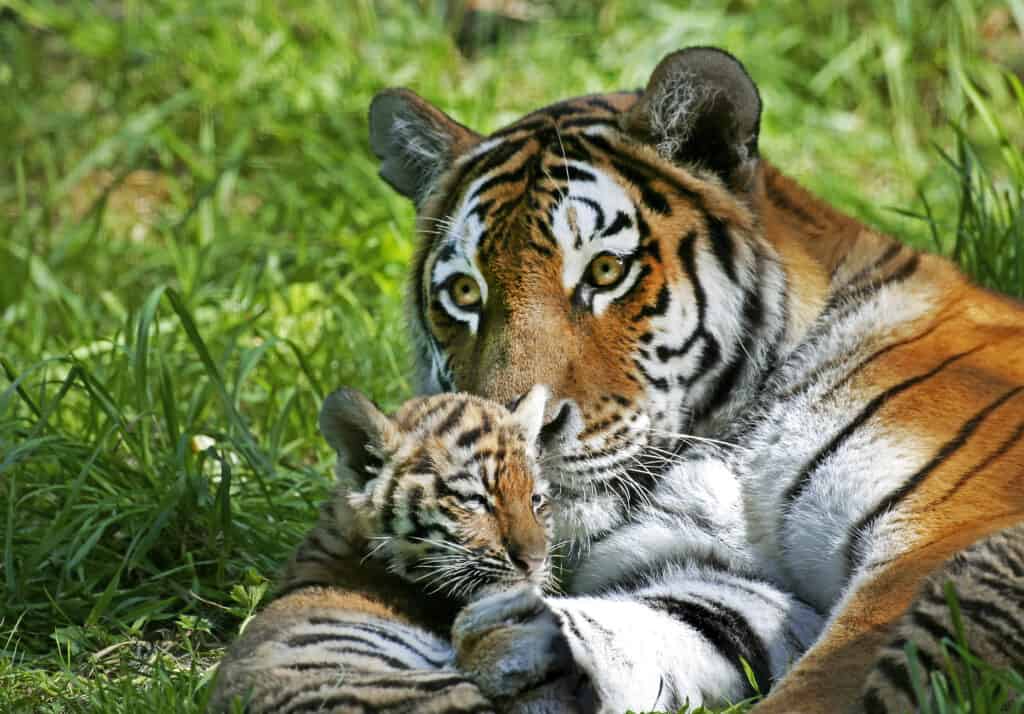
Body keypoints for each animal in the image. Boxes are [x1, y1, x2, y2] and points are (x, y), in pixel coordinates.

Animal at [368, 47, 1024, 708]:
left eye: (605, 271)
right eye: (464, 292)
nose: (516, 438)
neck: (731, 435)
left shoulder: (940, 537)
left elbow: (828, 684)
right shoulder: (718, 572)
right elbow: (673, 625)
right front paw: (513, 632)